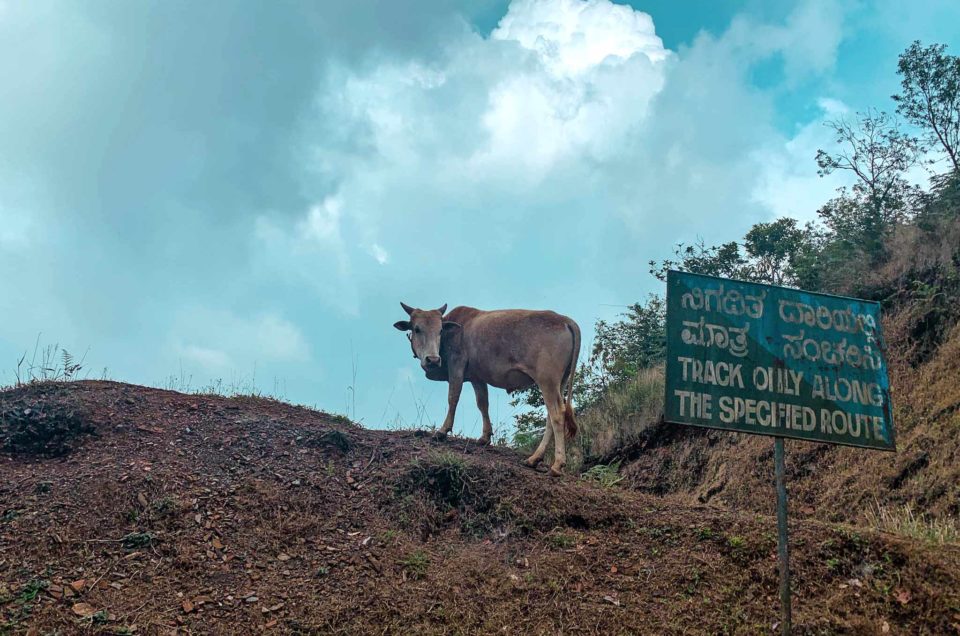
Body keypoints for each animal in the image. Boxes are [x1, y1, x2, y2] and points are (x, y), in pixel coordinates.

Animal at [394, 300, 580, 474]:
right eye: (417, 329)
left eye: (440, 330)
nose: (432, 360)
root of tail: (565, 320)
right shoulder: (477, 378)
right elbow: (482, 403)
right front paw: (485, 436)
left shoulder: (456, 366)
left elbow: (453, 397)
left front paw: (442, 431)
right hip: (560, 382)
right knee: (551, 416)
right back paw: (534, 458)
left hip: (547, 380)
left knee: (557, 415)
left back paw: (557, 464)